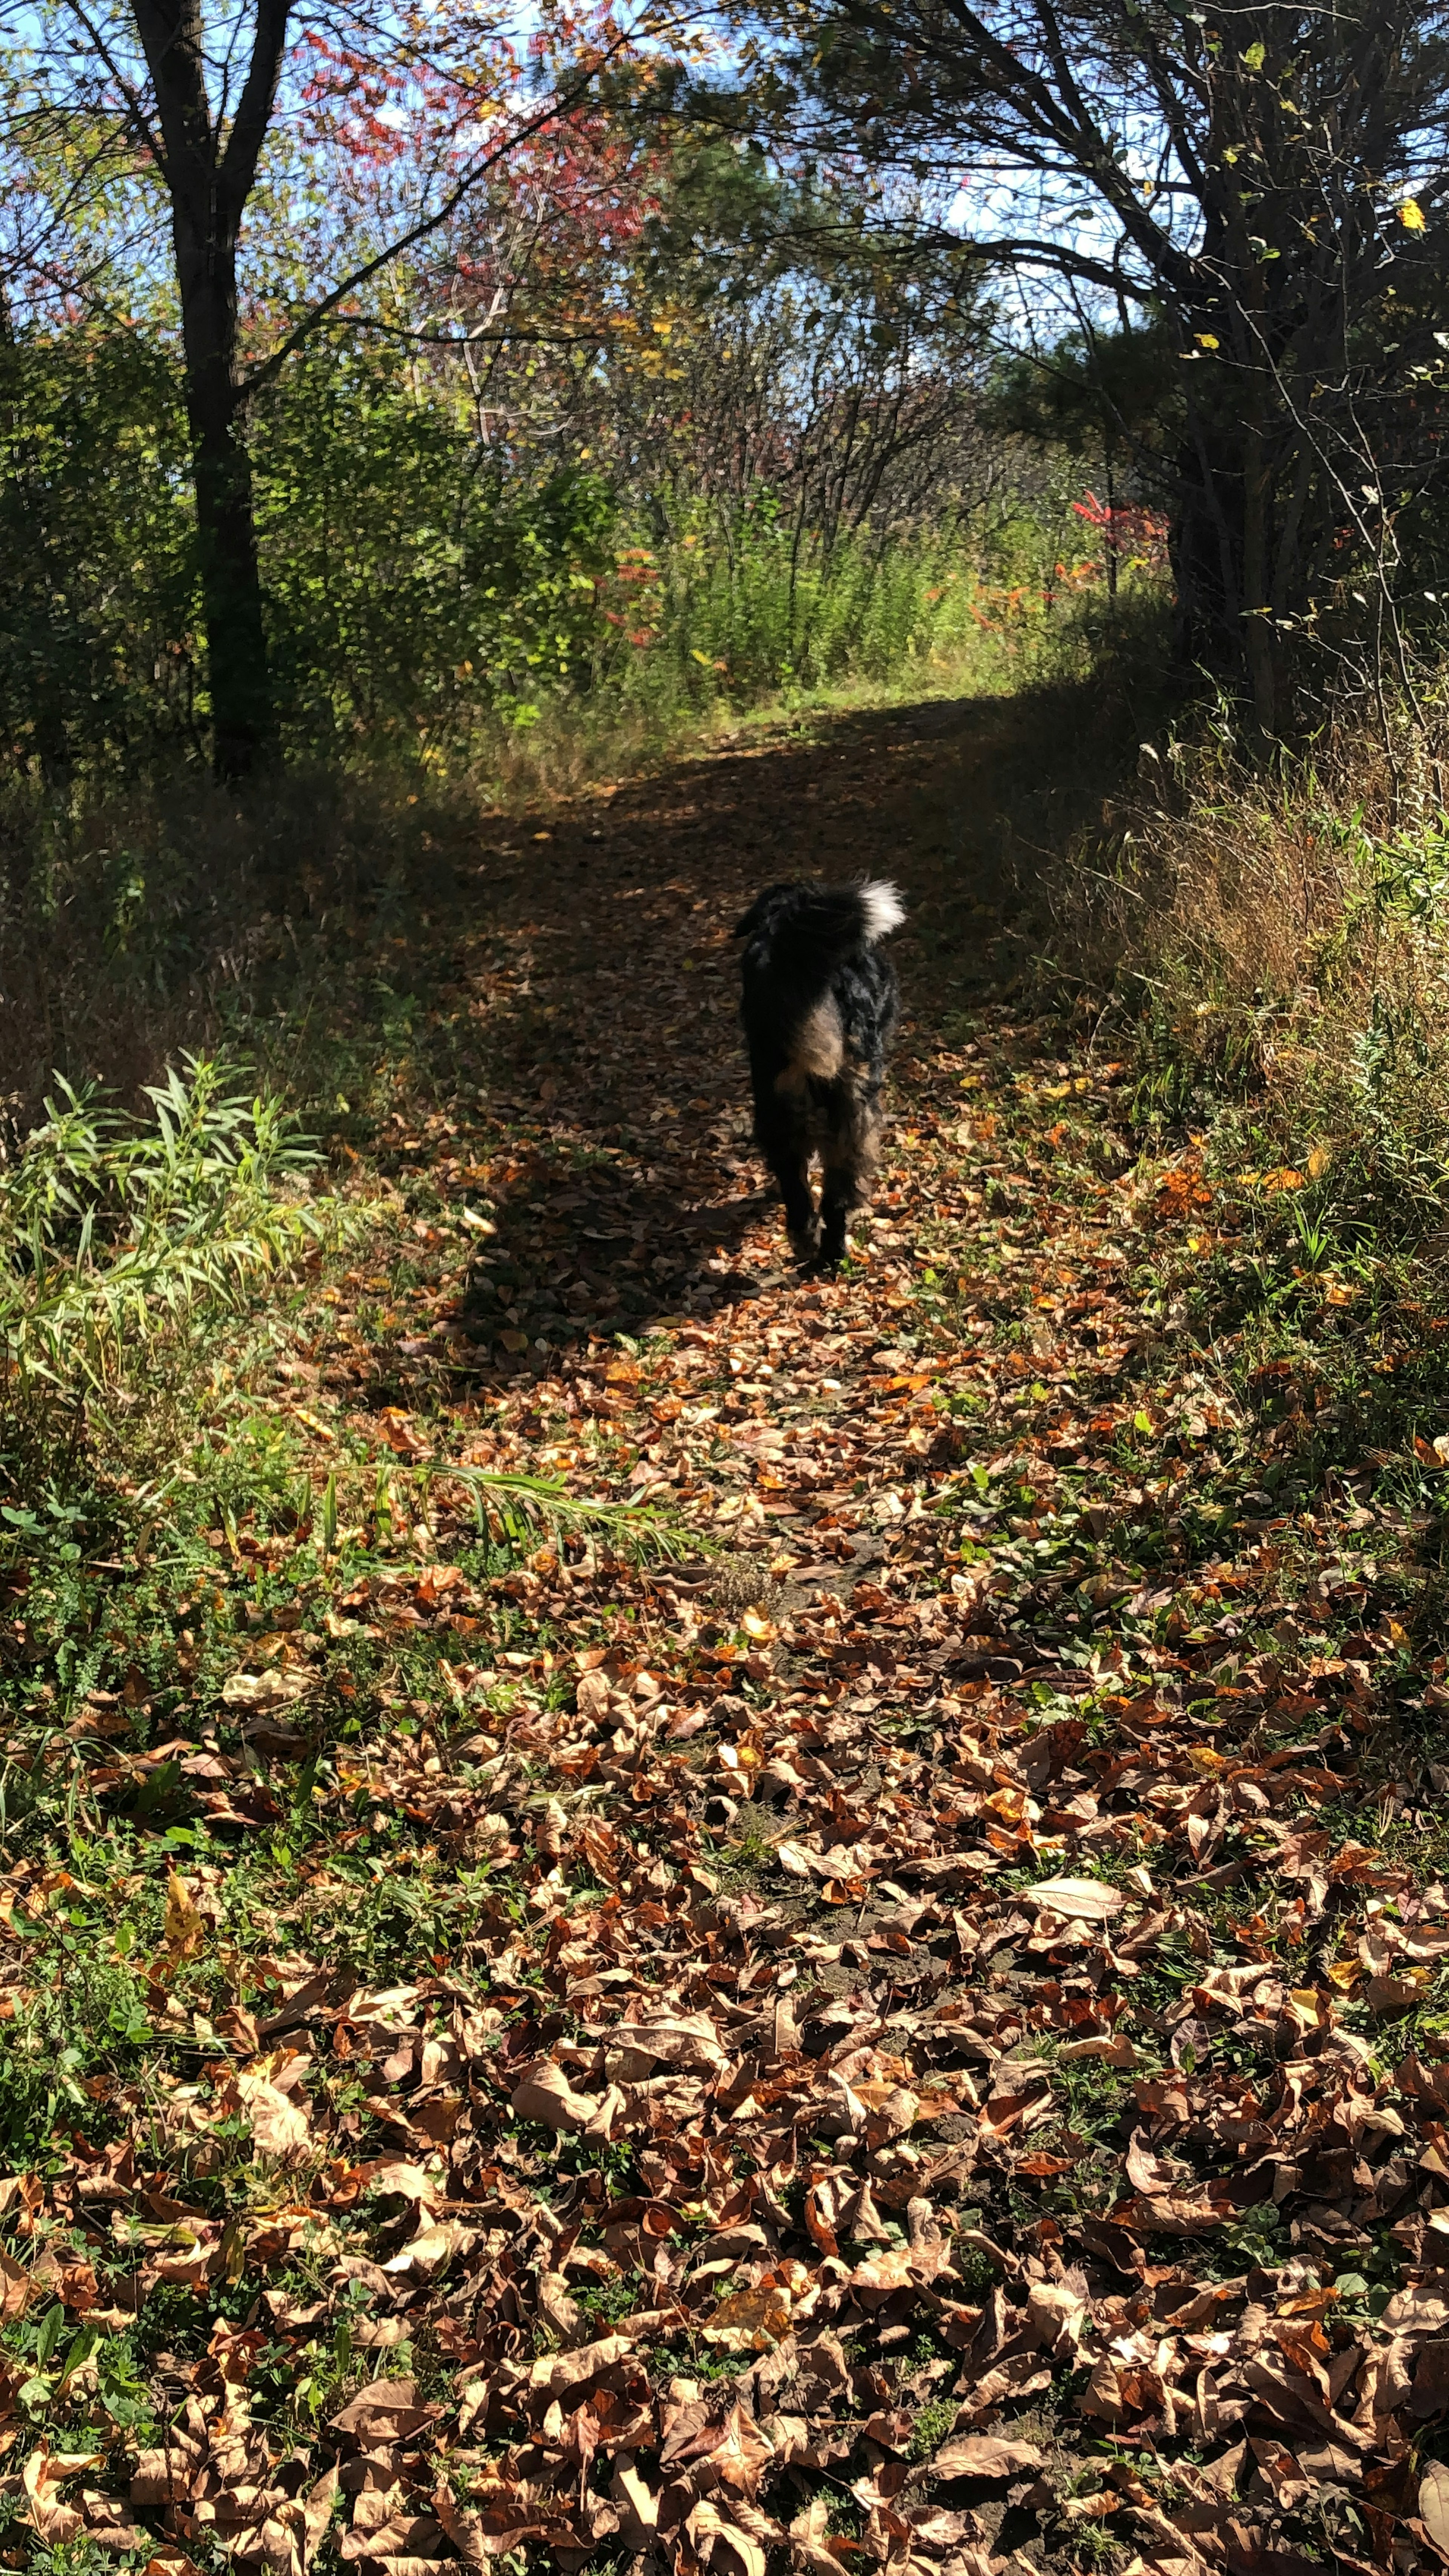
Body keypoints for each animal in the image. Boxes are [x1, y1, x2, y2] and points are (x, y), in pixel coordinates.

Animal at [732, 876, 902, 1267]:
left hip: (782, 1109)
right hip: (849, 1116)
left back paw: (812, 1242)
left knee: (801, 1187)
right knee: (831, 1195)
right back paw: (828, 1248)